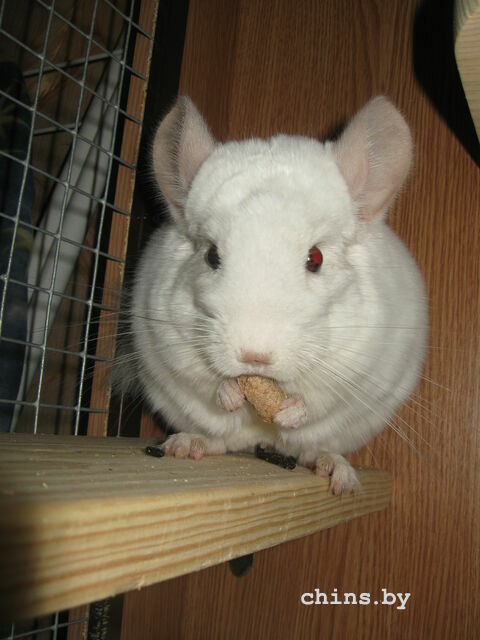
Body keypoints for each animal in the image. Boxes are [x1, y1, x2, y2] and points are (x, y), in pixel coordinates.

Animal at [122, 95, 428, 494]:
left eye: (316, 258)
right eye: (211, 255)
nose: (255, 357)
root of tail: (254, 441)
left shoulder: (356, 359)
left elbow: (317, 395)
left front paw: (290, 410)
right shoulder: (170, 336)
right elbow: (206, 379)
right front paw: (230, 393)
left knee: (313, 450)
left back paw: (337, 472)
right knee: (218, 440)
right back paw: (187, 444)